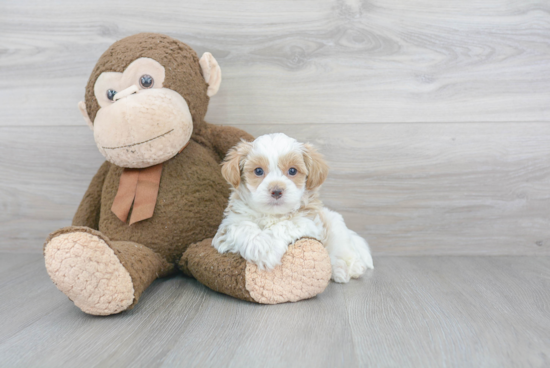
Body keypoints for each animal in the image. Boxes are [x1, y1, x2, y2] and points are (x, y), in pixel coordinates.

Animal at [211, 134, 376, 284]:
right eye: (258, 171)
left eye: (292, 171)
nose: (276, 191)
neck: (272, 214)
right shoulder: (226, 227)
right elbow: (242, 227)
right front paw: (261, 247)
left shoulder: (309, 222)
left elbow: (286, 225)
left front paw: (268, 249)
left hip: (335, 224)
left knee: (342, 249)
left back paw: (346, 268)